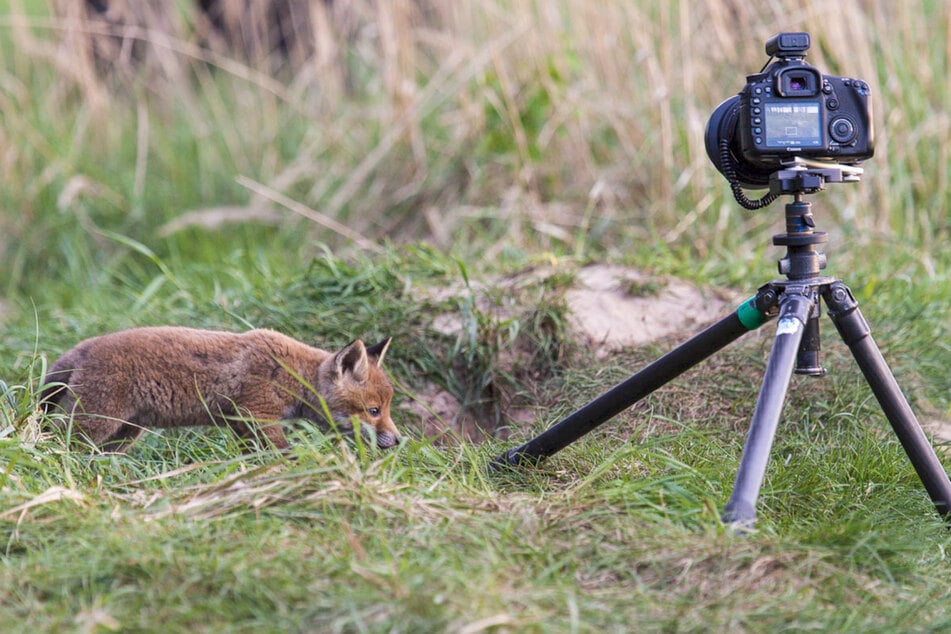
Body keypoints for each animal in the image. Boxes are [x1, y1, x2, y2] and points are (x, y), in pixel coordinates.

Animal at [40, 326, 398, 450]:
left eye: (386, 409)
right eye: (373, 411)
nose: (398, 440)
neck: (293, 375)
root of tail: (84, 347)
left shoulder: (240, 423)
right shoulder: (255, 414)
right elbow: (284, 451)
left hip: (125, 433)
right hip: (97, 423)